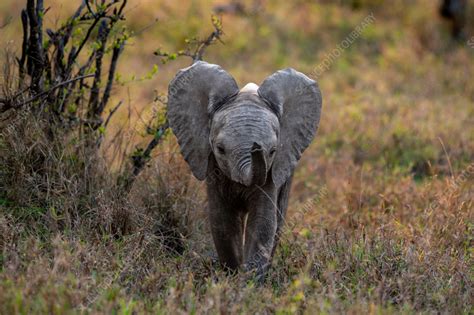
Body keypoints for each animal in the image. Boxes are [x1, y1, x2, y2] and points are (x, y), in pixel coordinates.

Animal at [168, 61, 322, 282]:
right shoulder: (213, 167)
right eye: (220, 149)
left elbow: (263, 222)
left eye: (272, 151)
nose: (256, 147)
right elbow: (223, 221)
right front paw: (231, 278)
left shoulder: (272, 171)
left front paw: (249, 282)